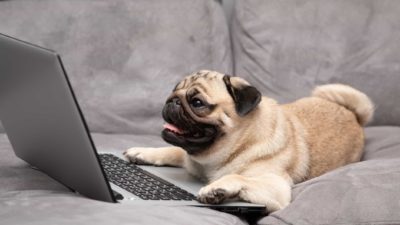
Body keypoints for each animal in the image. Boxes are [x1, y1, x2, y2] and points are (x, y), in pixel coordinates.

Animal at [123, 70, 374, 213]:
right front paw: (141, 152)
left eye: (197, 103)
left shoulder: (276, 186)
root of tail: (352, 112)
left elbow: (237, 176)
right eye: (174, 91)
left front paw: (217, 188)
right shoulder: (189, 158)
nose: (172, 101)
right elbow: (171, 151)